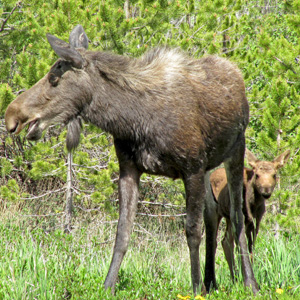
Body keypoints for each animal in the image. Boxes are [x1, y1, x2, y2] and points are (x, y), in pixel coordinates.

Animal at [4, 25, 258, 296]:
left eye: (54, 79)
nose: (11, 115)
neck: (133, 119)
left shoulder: (192, 168)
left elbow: (192, 231)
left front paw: (195, 288)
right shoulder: (128, 169)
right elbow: (122, 233)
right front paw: (107, 286)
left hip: (236, 150)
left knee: (237, 215)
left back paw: (248, 282)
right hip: (211, 165)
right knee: (212, 214)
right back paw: (212, 281)